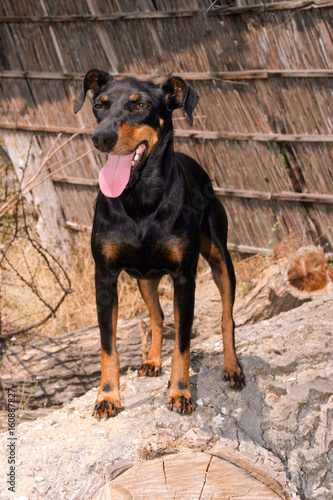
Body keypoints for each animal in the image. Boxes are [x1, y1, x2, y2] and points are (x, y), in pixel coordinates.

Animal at [74, 69, 244, 422]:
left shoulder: (185, 278)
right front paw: (107, 397)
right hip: (145, 278)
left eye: (140, 105)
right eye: (99, 105)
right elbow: (108, 345)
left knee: (227, 316)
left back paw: (232, 367)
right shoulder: (105, 277)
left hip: (221, 258)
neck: (139, 198)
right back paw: (152, 361)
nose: (101, 138)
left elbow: (182, 343)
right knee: (157, 315)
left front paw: (180, 393)